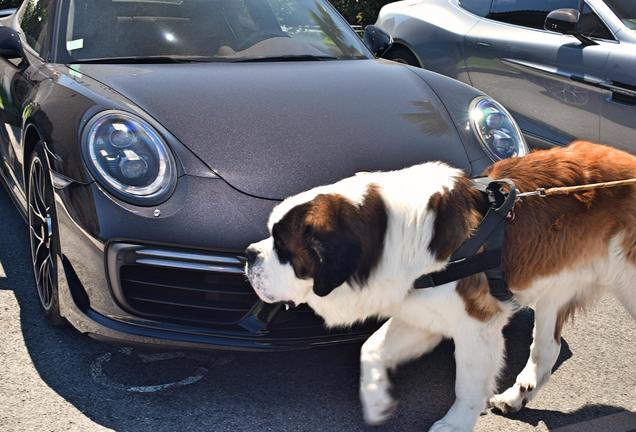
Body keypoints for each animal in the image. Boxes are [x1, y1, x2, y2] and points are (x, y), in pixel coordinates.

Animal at [242, 140, 636, 430]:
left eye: (283, 247)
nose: (249, 254)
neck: (389, 234)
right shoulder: (421, 313)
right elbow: (370, 349)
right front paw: (377, 400)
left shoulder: (477, 323)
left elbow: (467, 384)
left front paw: (454, 424)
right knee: (547, 349)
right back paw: (516, 397)